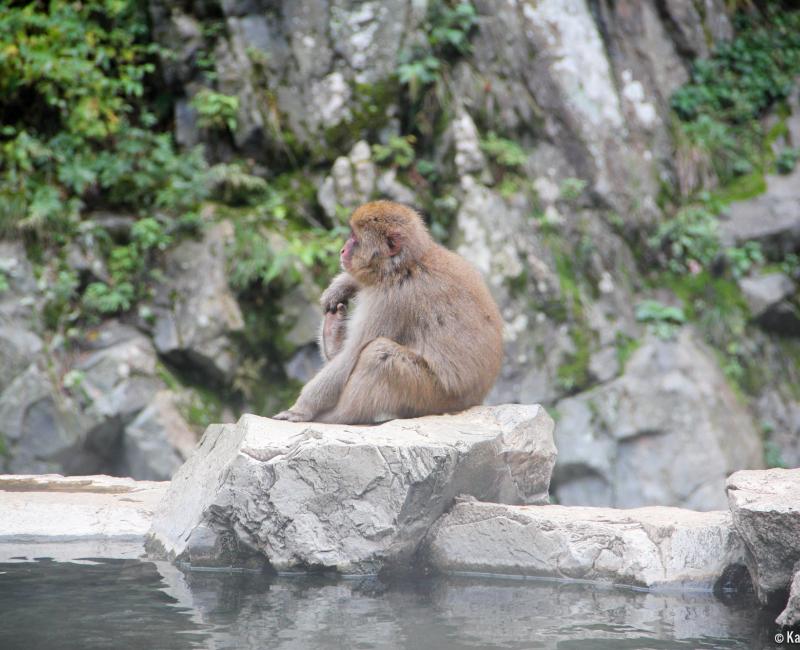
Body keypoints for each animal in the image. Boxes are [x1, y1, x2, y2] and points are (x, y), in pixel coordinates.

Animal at [273, 200, 503, 425]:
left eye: (354, 238)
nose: (342, 251)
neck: (402, 266)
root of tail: (473, 401)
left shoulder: (391, 301)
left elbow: (351, 356)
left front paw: (300, 409)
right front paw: (342, 285)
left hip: (431, 396)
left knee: (378, 355)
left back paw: (338, 416)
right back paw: (332, 332)